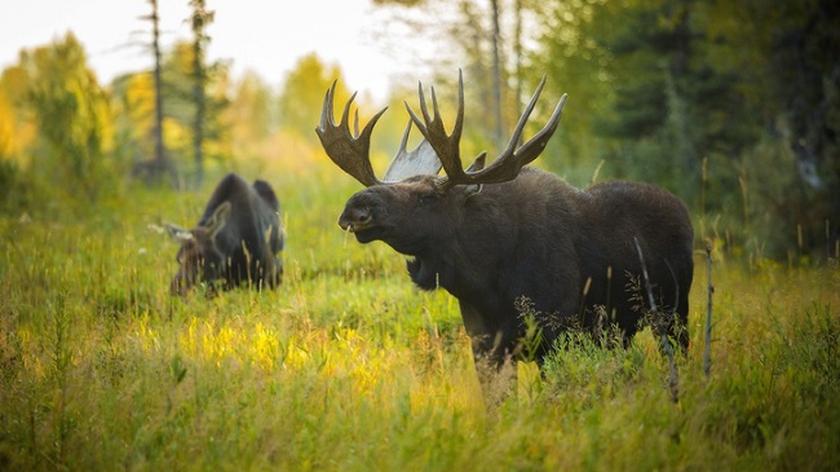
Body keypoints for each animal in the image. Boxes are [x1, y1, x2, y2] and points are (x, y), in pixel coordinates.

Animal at [316, 71, 696, 380]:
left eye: (427, 196)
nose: (356, 207)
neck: (486, 279)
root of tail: (683, 210)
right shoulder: (485, 345)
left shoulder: (556, 334)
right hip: (622, 329)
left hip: (674, 311)